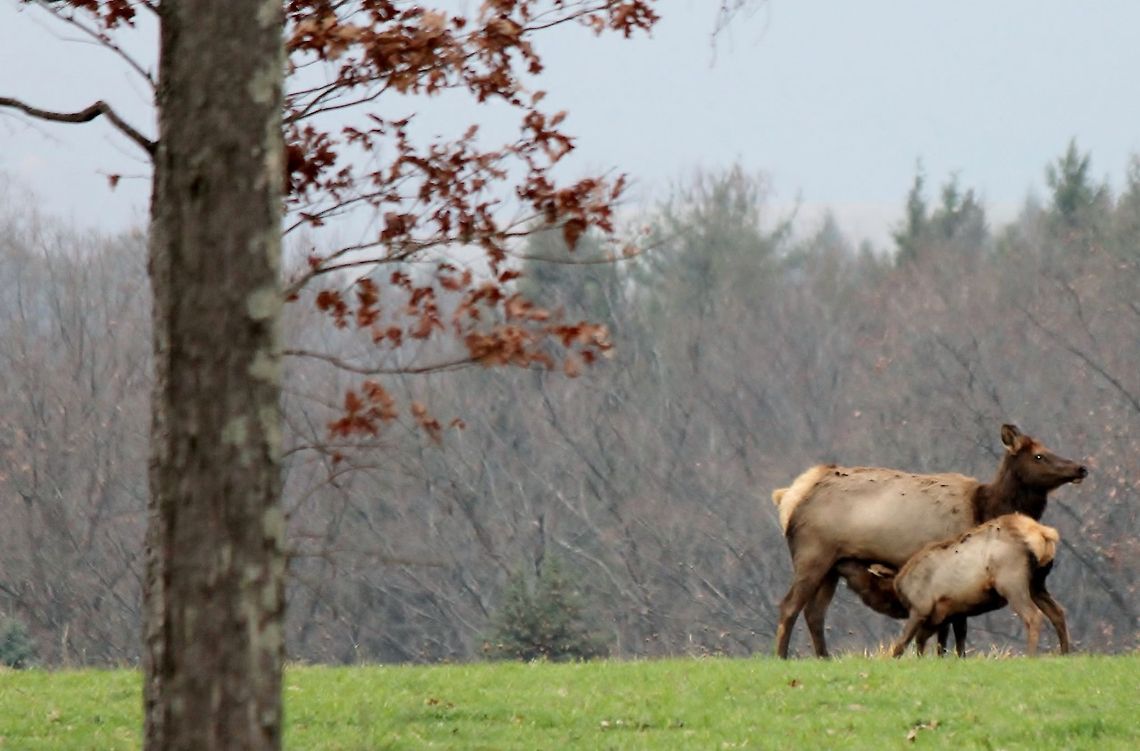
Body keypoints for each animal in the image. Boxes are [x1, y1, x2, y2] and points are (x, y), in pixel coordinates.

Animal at [771, 424, 1085, 658]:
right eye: (1039, 456)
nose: (1080, 468)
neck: (985, 507)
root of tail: (790, 498)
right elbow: (954, 626)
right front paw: (947, 657)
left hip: (833, 565)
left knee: (814, 612)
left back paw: (824, 657)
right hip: (812, 554)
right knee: (789, 605)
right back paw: (782, 656)